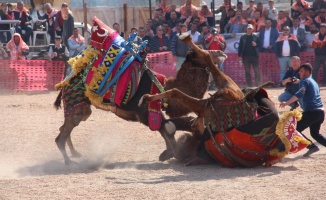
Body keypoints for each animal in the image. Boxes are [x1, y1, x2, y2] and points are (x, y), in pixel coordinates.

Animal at [52, 18, 227, 165]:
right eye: (202, 51)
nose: (221, 52)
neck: (163, 85)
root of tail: (65, 83)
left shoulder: (152, 109)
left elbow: (165, 128)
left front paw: (168, 153)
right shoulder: (144, 112)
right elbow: (164, 128)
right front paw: (172, 154)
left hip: (81, 107)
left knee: (64, 129)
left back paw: (75, 154)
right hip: (77, 105)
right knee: (60, 136)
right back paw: (69, 162)